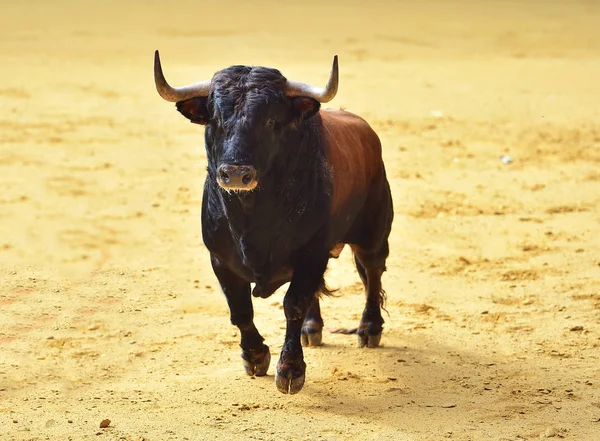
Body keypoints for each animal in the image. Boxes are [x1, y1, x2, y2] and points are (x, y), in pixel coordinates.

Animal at [152, 49, 392, 394]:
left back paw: (369, 328)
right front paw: (254, 357)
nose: (235, 173)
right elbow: (240, 309)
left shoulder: (311, 253)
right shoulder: (220, 260)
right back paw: (311, 329)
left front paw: (290, 370)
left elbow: (293, 304)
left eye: (269, 121)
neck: (252, 215)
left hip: (373, 234)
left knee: (372, 273)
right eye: (217, 119)